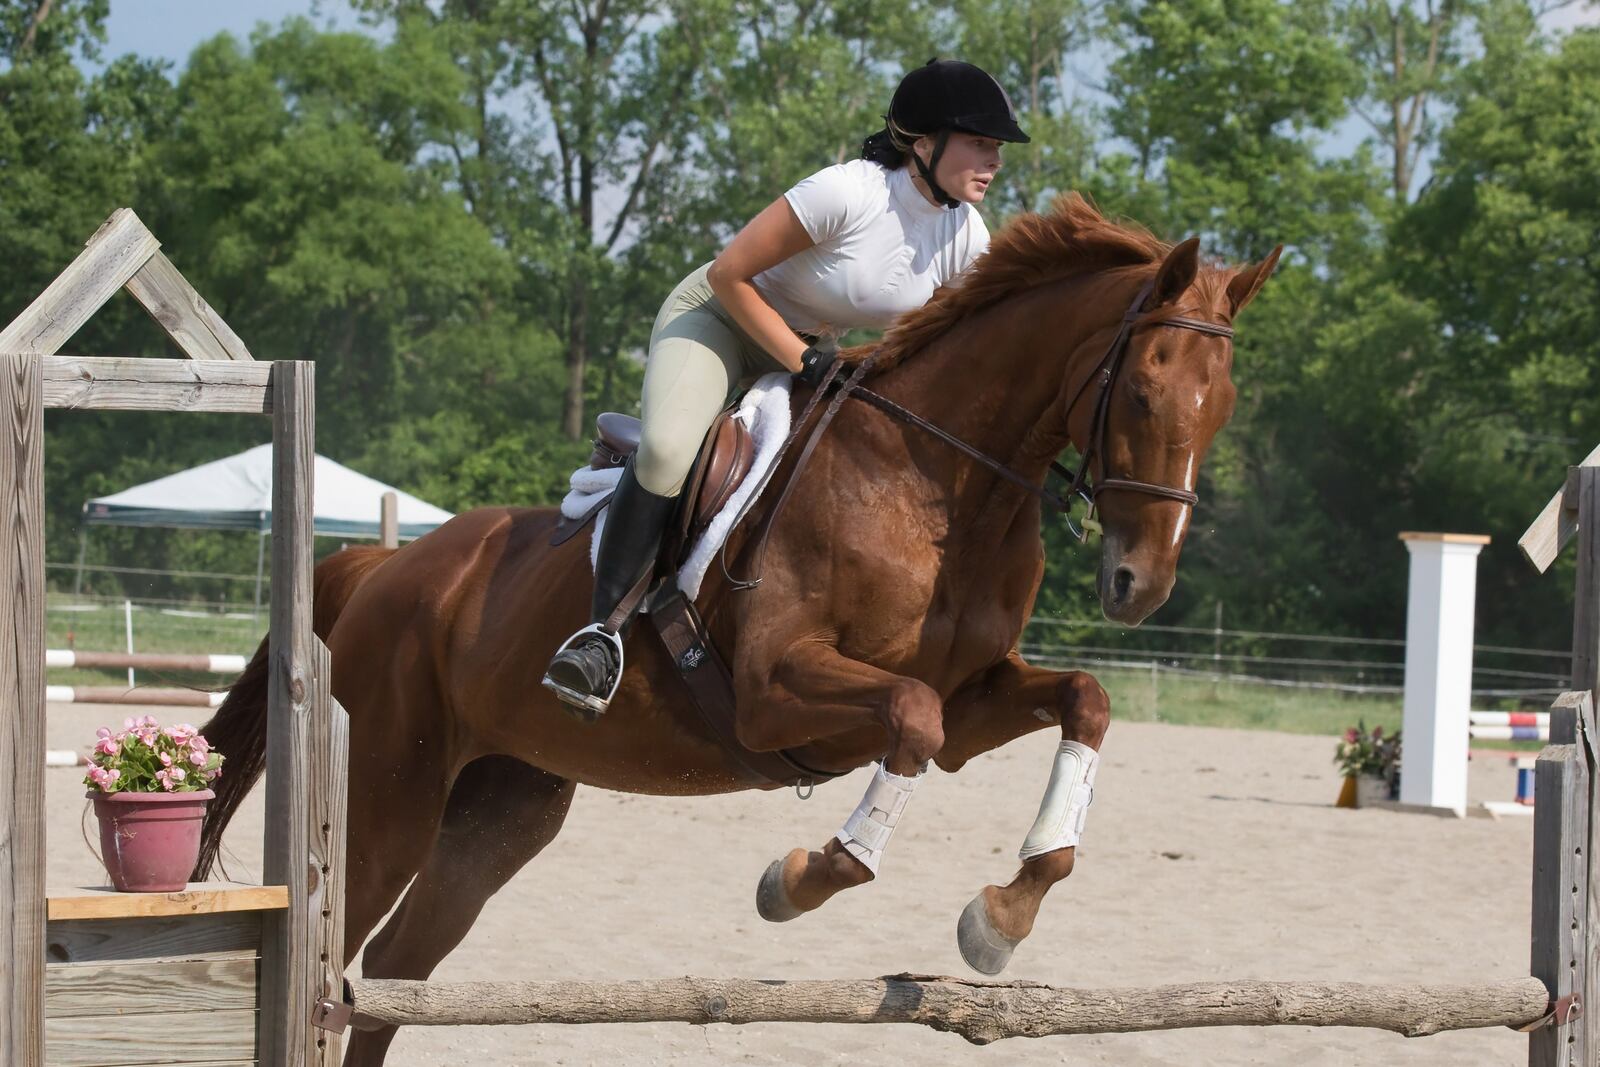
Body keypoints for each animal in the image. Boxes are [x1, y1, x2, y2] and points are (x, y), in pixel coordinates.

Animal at [193, 194, 1280, 1067]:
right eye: (1141, 388)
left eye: (1225, 405)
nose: (1140, 583)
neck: (933, 483)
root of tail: (384, 567)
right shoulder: (772, 690)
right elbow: (910, 718)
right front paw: (799, 879)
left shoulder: (975, 702)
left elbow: (1077, 701)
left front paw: (1000, 915)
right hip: (392, 786)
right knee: (340, 954)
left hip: (500, 808)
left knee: (391, 973)